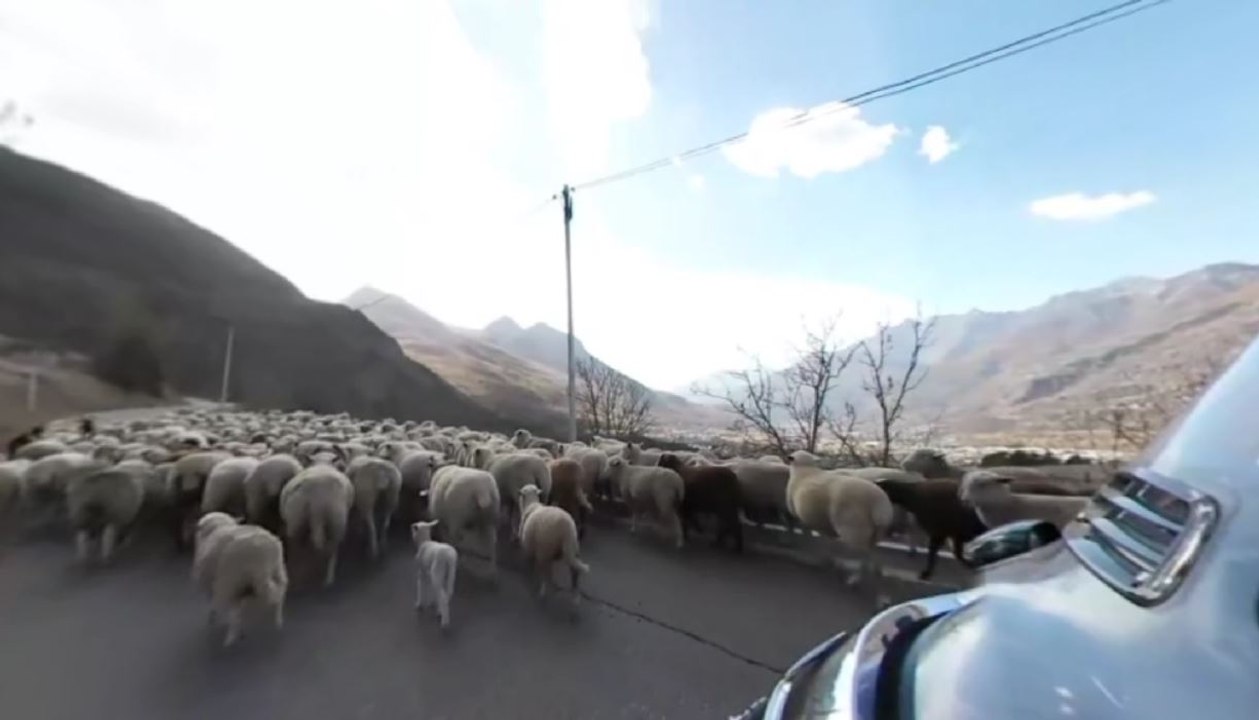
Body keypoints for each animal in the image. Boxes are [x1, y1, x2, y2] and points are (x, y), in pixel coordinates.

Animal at [192, 512, 288, 647]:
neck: (218, 526)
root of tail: (261, 554)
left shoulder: (217, 585)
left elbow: (215, 604)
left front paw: (213, 616)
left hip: (230, 582)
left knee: (234, 611)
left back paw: (230, 638)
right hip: (277, 569)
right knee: (280, 591)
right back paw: (277, 620)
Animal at [786, 451, 895, 591]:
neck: (805, 470)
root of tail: (879, 504)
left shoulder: (800, 516)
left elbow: (808, 534)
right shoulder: (823, 523)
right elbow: (826, 539)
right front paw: (828, 560)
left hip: (854, 528)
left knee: (865, 555)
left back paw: (854, 580)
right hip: (876, 531)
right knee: (874, 553)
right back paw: (879, 576)